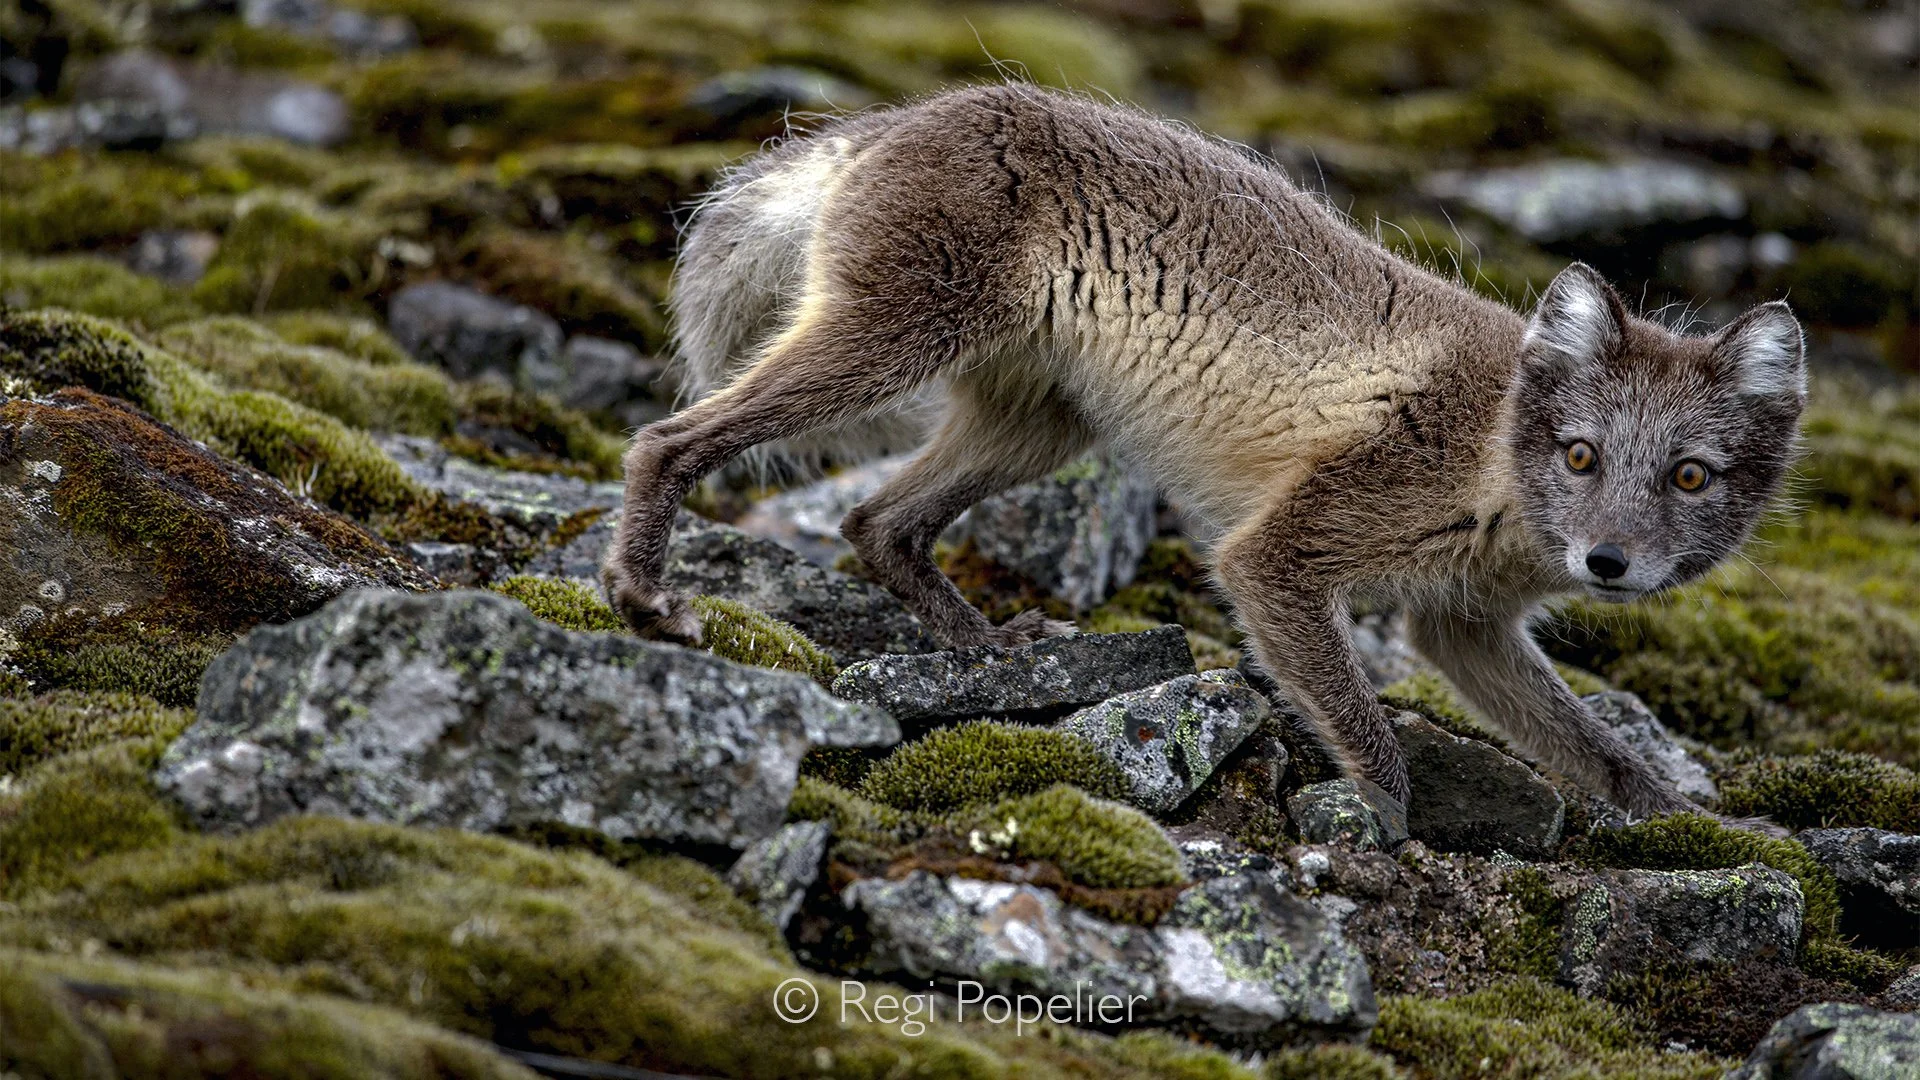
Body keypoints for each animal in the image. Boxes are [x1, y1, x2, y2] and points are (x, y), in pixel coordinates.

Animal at [603, 84, 1805, 817]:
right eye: (1583, 455)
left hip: (1040, 424)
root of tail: (915, 113)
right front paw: (1380, 822)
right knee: (668, 439)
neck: (1491, 459)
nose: (1609, 564)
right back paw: (643, 593)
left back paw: (986, 651)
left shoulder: (1462, 626)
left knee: (875, 521)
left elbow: (1597, 749)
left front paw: (1697, 831)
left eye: (1690, 476)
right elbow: (1366, 726)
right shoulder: (1280, 557)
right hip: (893, 340)